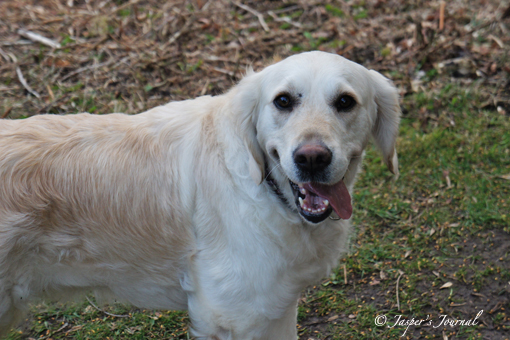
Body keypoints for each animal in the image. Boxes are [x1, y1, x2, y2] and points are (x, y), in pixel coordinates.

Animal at [0, 51, 398, 340]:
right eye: (283, 101)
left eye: (345, 101)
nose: (312, 158)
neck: (263, 189)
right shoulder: (236, 314)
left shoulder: (275, 308)